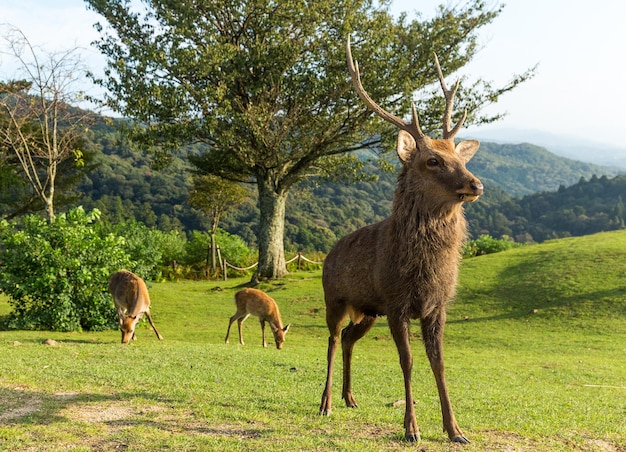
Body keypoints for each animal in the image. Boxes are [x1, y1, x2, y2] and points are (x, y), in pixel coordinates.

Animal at [316, 36, 482, 444]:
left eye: (460, 157)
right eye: (432, 161)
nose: (475, 184)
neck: (423, 270)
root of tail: (328, 252)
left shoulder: (437, 306)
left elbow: (439, 363)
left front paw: (456, 429)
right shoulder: (396, 302)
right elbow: (406, 361)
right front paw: (411, 428)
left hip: (367, 310)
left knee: (349, 338)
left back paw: (350, 398)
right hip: (335, 298)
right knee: (331, 339)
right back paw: (325, 403)